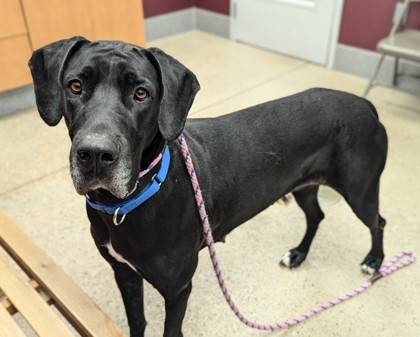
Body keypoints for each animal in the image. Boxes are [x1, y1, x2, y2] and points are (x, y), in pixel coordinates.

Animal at [28, 36, 388, 336]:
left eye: (141, 93)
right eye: (75, 86)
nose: (95, 155)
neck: (126, 203)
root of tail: (366, 105)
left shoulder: (177, 289)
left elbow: (171, 331)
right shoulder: (125, 274)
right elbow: (137, 321)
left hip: (360, 190)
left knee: (378, 222)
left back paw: (374, 261)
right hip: (305, 186)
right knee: (316, 216)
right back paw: (298, 254)